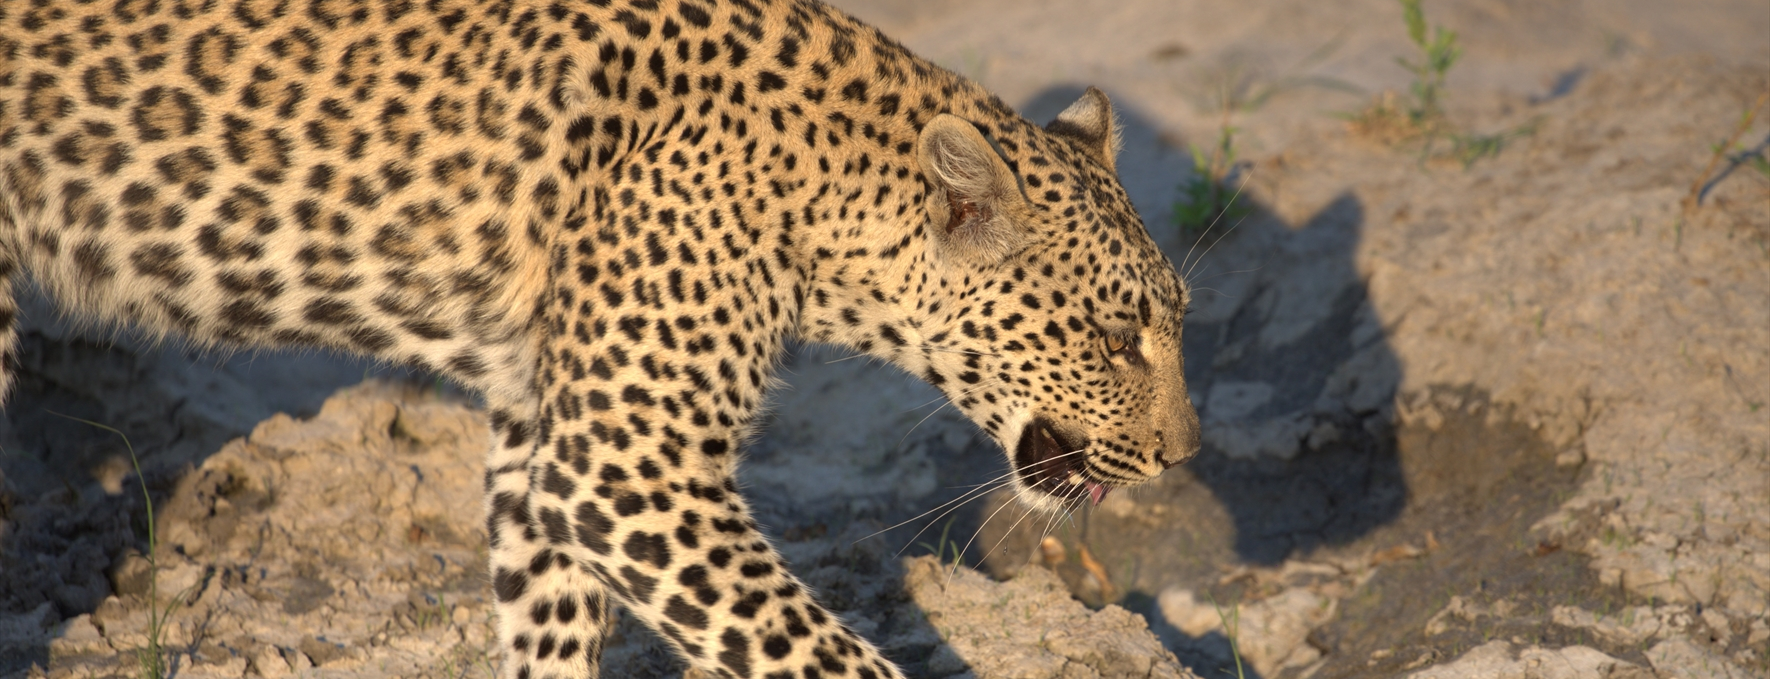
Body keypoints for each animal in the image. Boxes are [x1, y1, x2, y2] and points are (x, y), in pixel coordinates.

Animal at [0, 0, 1203, 675]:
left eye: (1174, 321)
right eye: (1115, 336)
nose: (1184, 455)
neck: (826, 187)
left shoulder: (545, 441)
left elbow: (550, 624)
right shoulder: (629, 464)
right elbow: (816, 652)